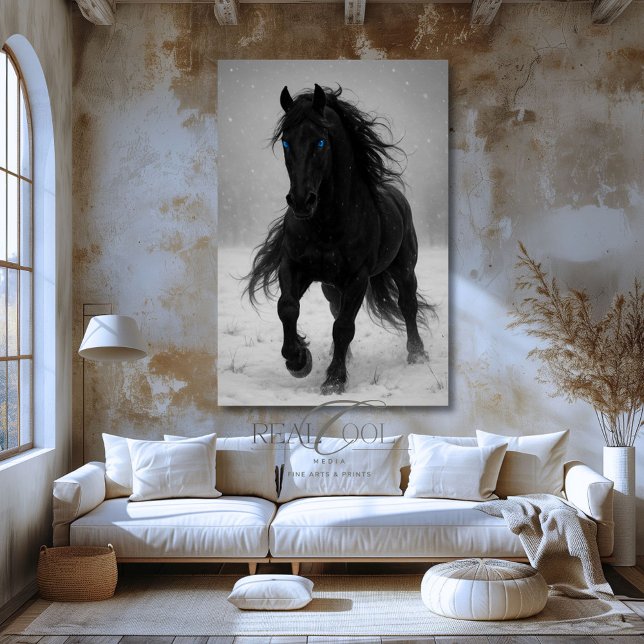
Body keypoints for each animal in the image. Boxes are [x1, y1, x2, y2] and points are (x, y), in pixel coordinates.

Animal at [245, 84, 434, 396]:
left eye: (320, 142)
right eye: (286, 143)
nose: (301, 201)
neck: (327, 224)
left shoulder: (358, 277)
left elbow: (344, 326)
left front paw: (334, 380)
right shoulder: (294, 266)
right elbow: (288, 307)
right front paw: (299, 360)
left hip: (404, 268)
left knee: (407, 304)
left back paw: (417, 354)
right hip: (331, 286)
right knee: (336, 309)